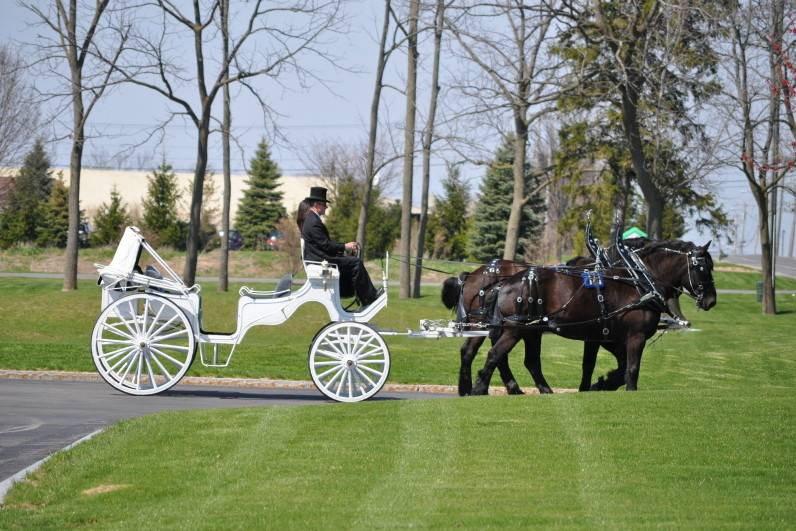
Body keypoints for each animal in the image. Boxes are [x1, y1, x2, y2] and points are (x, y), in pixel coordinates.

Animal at [470, 241, 720, 394]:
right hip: (515, 329)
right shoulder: (635, 337)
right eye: (703, 268)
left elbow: (599, 366)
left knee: (529, 361)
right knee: (495, 355)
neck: (639, 282)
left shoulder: (603, 337)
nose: (711, 300)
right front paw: (626, 390)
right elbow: (631, 368)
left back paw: (544, 390)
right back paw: (479, 388)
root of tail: (504, 283)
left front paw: (598, 385)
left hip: (531, 331)